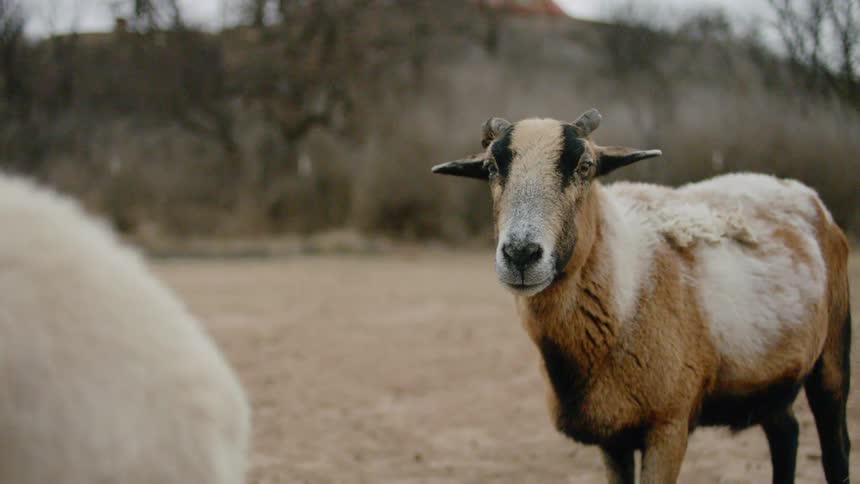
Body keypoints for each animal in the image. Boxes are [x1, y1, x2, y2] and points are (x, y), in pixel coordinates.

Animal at [432, 110, 852, 484]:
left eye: (585, 166)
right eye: (490, 168)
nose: (520, 254)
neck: (623, 290)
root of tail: (799, 190)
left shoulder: (668, 425)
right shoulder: (610, 432)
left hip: (832, 351)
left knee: (835, 446)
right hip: (768, 378)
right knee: (786, 434)